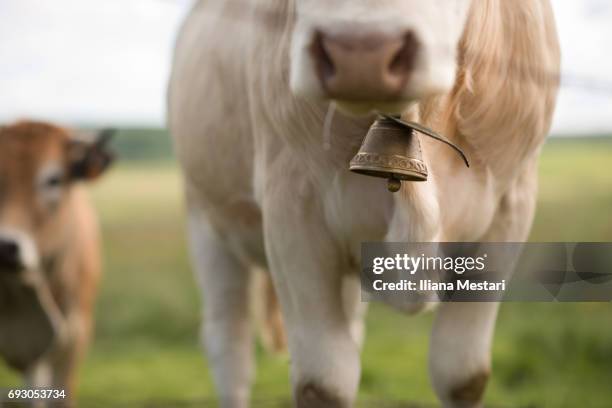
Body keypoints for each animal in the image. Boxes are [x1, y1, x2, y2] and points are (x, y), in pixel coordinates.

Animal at [167, 1, 560, 406]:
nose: (361, 55)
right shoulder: (291, 210)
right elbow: (323, 382)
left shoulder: (510, 207)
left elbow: (463, 375)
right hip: (204, 219)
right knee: (229, 342)